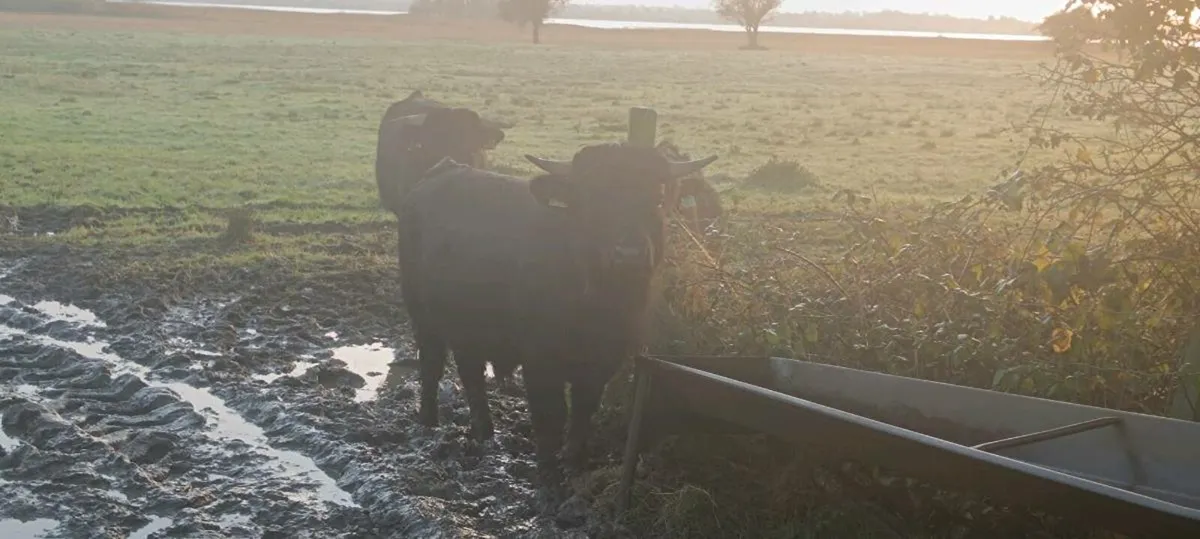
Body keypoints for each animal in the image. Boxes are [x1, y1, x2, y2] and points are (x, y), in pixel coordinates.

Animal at [397, 142, 717, 492]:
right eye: (593, 199)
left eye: (658, 198)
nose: (629, 255)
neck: (597, 306)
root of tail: (442, 170)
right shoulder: (539, 359)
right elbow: (550, 412)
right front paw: (548, 471)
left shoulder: (606, 361)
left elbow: (583, 409)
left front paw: (574, 461)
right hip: (422, 315)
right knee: (432, 364)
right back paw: (429, 421)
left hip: (468, 326)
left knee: (471, 373)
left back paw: (485, 432)